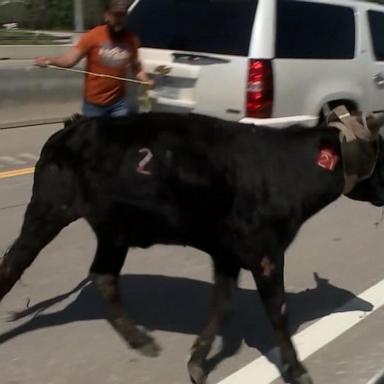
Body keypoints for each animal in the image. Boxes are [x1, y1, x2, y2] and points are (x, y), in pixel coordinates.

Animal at [0, 109, 384, 384]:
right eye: (380, 147)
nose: (383, 192)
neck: (288, 170)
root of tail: (74, 125)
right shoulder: (266, 254)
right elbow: (278, 312)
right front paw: (298, 370)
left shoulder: (229, 254)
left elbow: (223, 307)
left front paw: (197, 361)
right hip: (48, 211)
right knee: (13, 266)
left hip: (114, 231)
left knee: (103, 276)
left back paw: (141, 340)